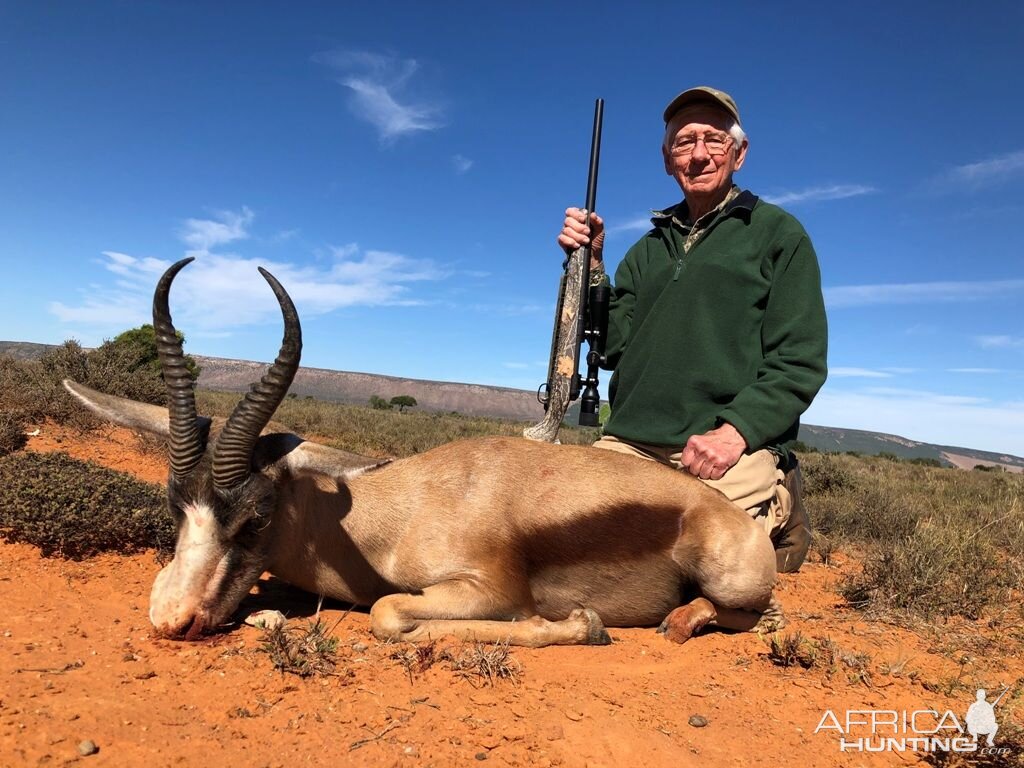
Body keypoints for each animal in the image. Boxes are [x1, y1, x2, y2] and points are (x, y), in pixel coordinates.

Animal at [66, 260, 782, 651]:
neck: (395, 510)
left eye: (257, 515)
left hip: (731, 580)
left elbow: (387, 613)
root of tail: (735, 518)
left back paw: (679, 622)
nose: (172, 618)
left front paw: (585, 625)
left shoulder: (487, 590)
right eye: (174, 505)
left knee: (753, 614)